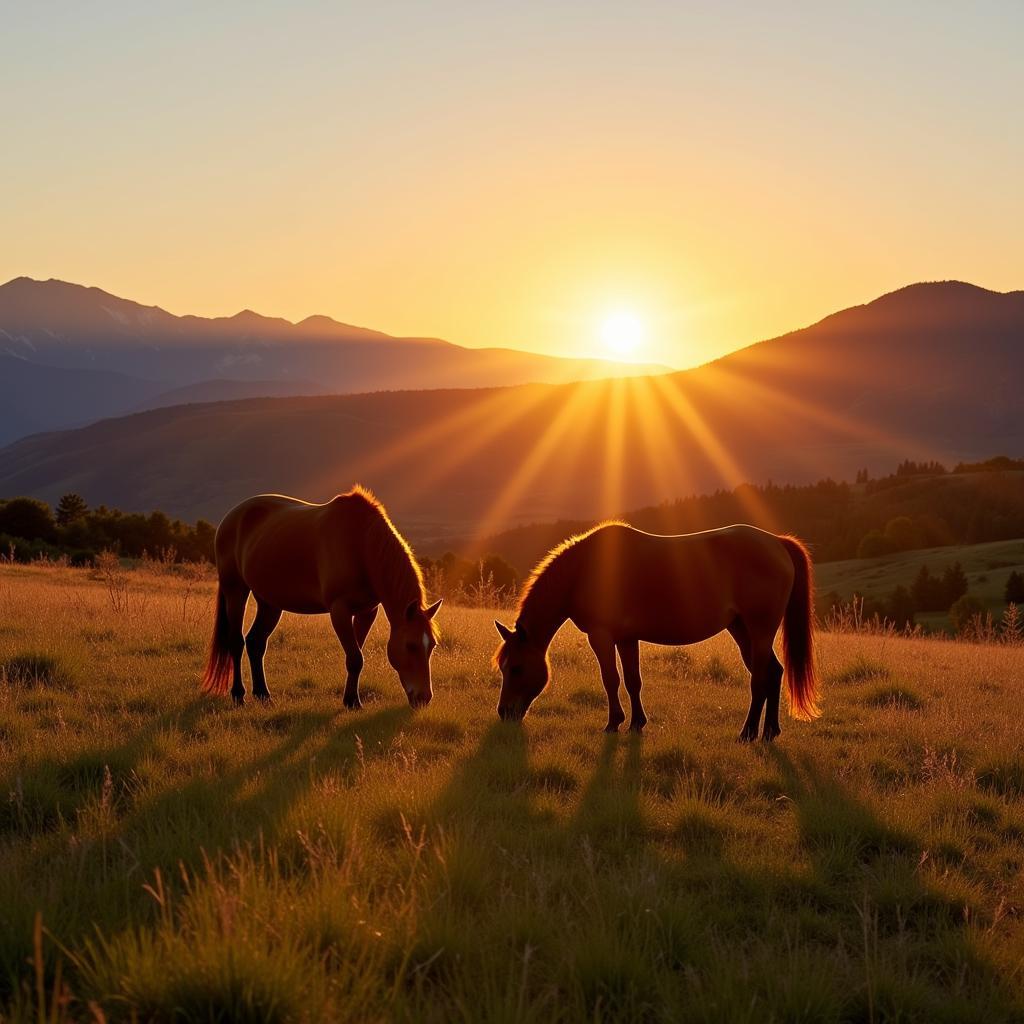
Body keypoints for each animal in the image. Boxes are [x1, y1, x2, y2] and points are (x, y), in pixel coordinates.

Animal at [200, 483, 440, 708]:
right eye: (410, 645)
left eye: (432, 645)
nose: (424, 698)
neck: (360, 544)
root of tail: (231, 517)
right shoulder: (339, 610)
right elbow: (355, 658)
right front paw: (353, 701)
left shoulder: (367, 611)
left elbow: (356, 655)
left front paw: (350, 699)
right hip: (235, 590)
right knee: (236, 641)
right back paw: (238, 695)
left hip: (269, 603)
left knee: (255, 642)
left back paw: (263, 695)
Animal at [491, 524, 819, 741]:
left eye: (517, 668)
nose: (504, 713)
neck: (583, 570)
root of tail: (777, 543)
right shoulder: (626, 638)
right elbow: (632, 681)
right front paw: (636, 723)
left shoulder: (601, 636)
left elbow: (611, 679)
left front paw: (613, 723)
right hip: (741, 629)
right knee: (774, 672)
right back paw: (770, 732)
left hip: (759, 630)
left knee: (760, 678)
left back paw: (748, 732)